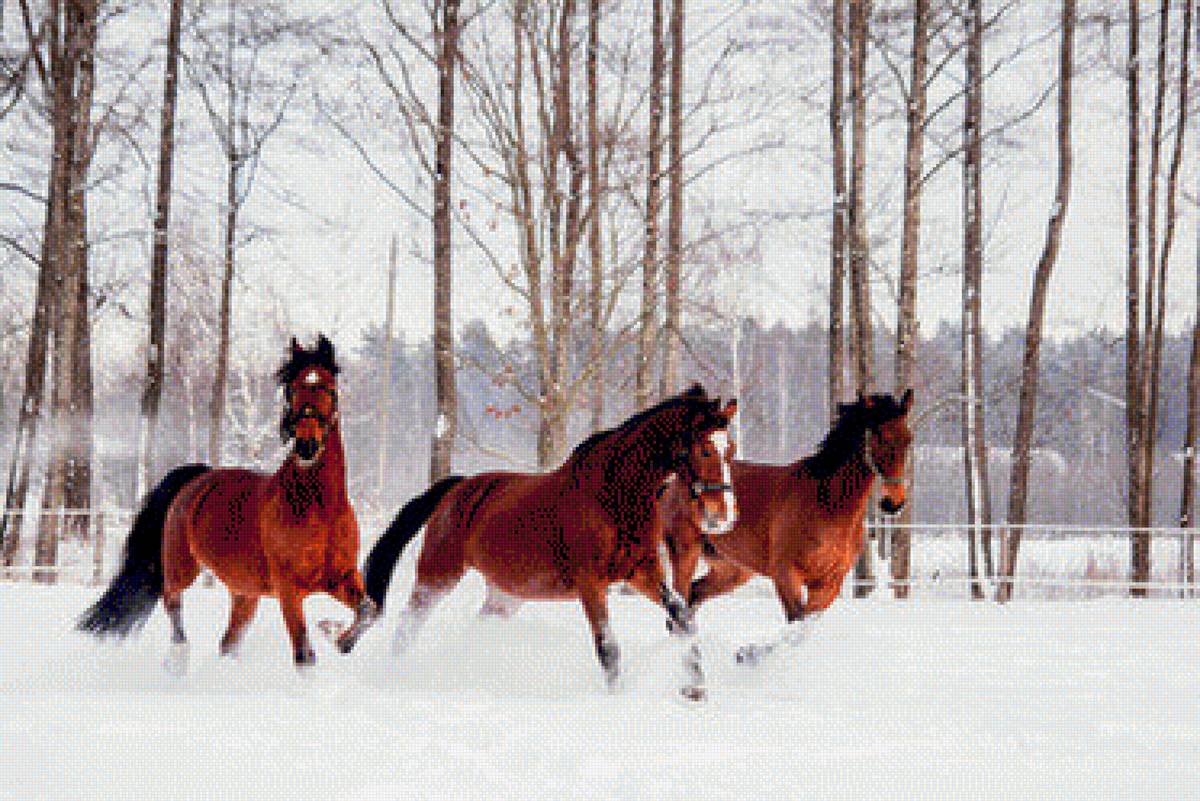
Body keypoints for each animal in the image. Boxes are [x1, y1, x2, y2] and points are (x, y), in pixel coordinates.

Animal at [78, 335, 378, 669]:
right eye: (292, 388)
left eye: (327, 386)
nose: (306, 445)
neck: (320, 510)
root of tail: (198, 479)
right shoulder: (289, 591)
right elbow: (304, 656)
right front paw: (330, 635)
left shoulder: (340, 578)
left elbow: (369, 610)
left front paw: (336, 635)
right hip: (182, 567)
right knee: (172, 602)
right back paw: (178, 657)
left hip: (245, 592)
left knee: (228, 642)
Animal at [341, 384, 738, 695]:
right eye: (705, 449)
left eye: (730, 449)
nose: (722, 514)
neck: (614, 496)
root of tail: (459, 488)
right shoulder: (591, 583)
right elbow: (608, 648)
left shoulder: (643, 573)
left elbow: (682, 618)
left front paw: (695, 686)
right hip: (439, 573)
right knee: (408, 625)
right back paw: (395, 674)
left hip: (506, 595)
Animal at [659, 390, 913, 665]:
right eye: (881, 437)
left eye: (908, 440)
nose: (893, 503)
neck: (827, 505)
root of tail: (673, 483)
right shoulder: (785, 574)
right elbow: (795, 624)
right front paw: (748, 655)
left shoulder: (829, 583)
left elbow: (802, 628)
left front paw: (748, 654)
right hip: (685, 552)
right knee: (679, 605)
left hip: (733, 569)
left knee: (693, 597)